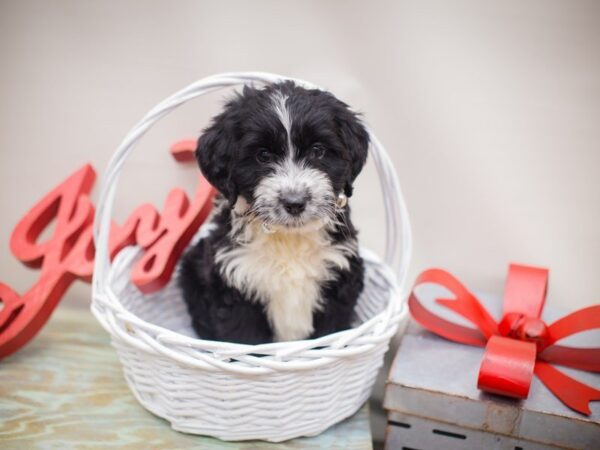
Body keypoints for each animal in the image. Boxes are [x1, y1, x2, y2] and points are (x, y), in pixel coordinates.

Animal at [177, 81, 370, 342]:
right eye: (263, 155)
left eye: (318, 150)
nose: (295, 202)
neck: (287, 239)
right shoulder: (234, 284)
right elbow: (245, 342)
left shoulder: (340, 277)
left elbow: (330, 336)